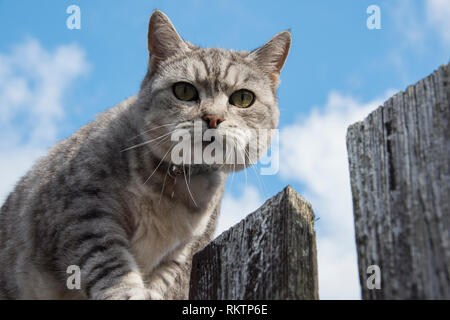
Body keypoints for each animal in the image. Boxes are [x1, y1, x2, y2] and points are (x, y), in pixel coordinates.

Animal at [0, 10, 290, 300]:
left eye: (243, 98)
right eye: (184, 91)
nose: (213, 118)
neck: (175, 184)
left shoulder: (182, 253)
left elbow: (164, 280)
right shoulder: (84, 212)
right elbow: (110, 265)